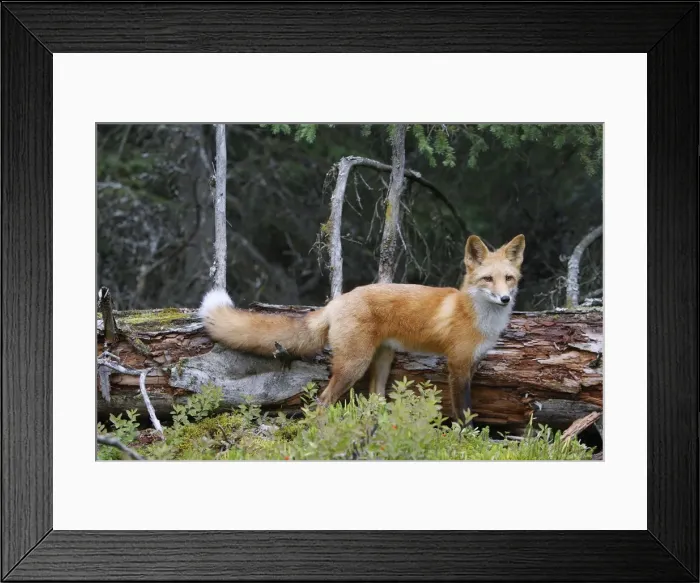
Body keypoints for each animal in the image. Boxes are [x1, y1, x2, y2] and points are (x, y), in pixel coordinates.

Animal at [199, 234, 525, 423]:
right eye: (487, 279)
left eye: (509, 278)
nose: (505, 298)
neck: (477, 314)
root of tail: (337, 300)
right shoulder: (457, 365)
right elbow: (462, 413)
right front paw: (463, 439)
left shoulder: (471, 364)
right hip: (354, 364)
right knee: (322, 402)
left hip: (381, 362)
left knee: (373, 401)